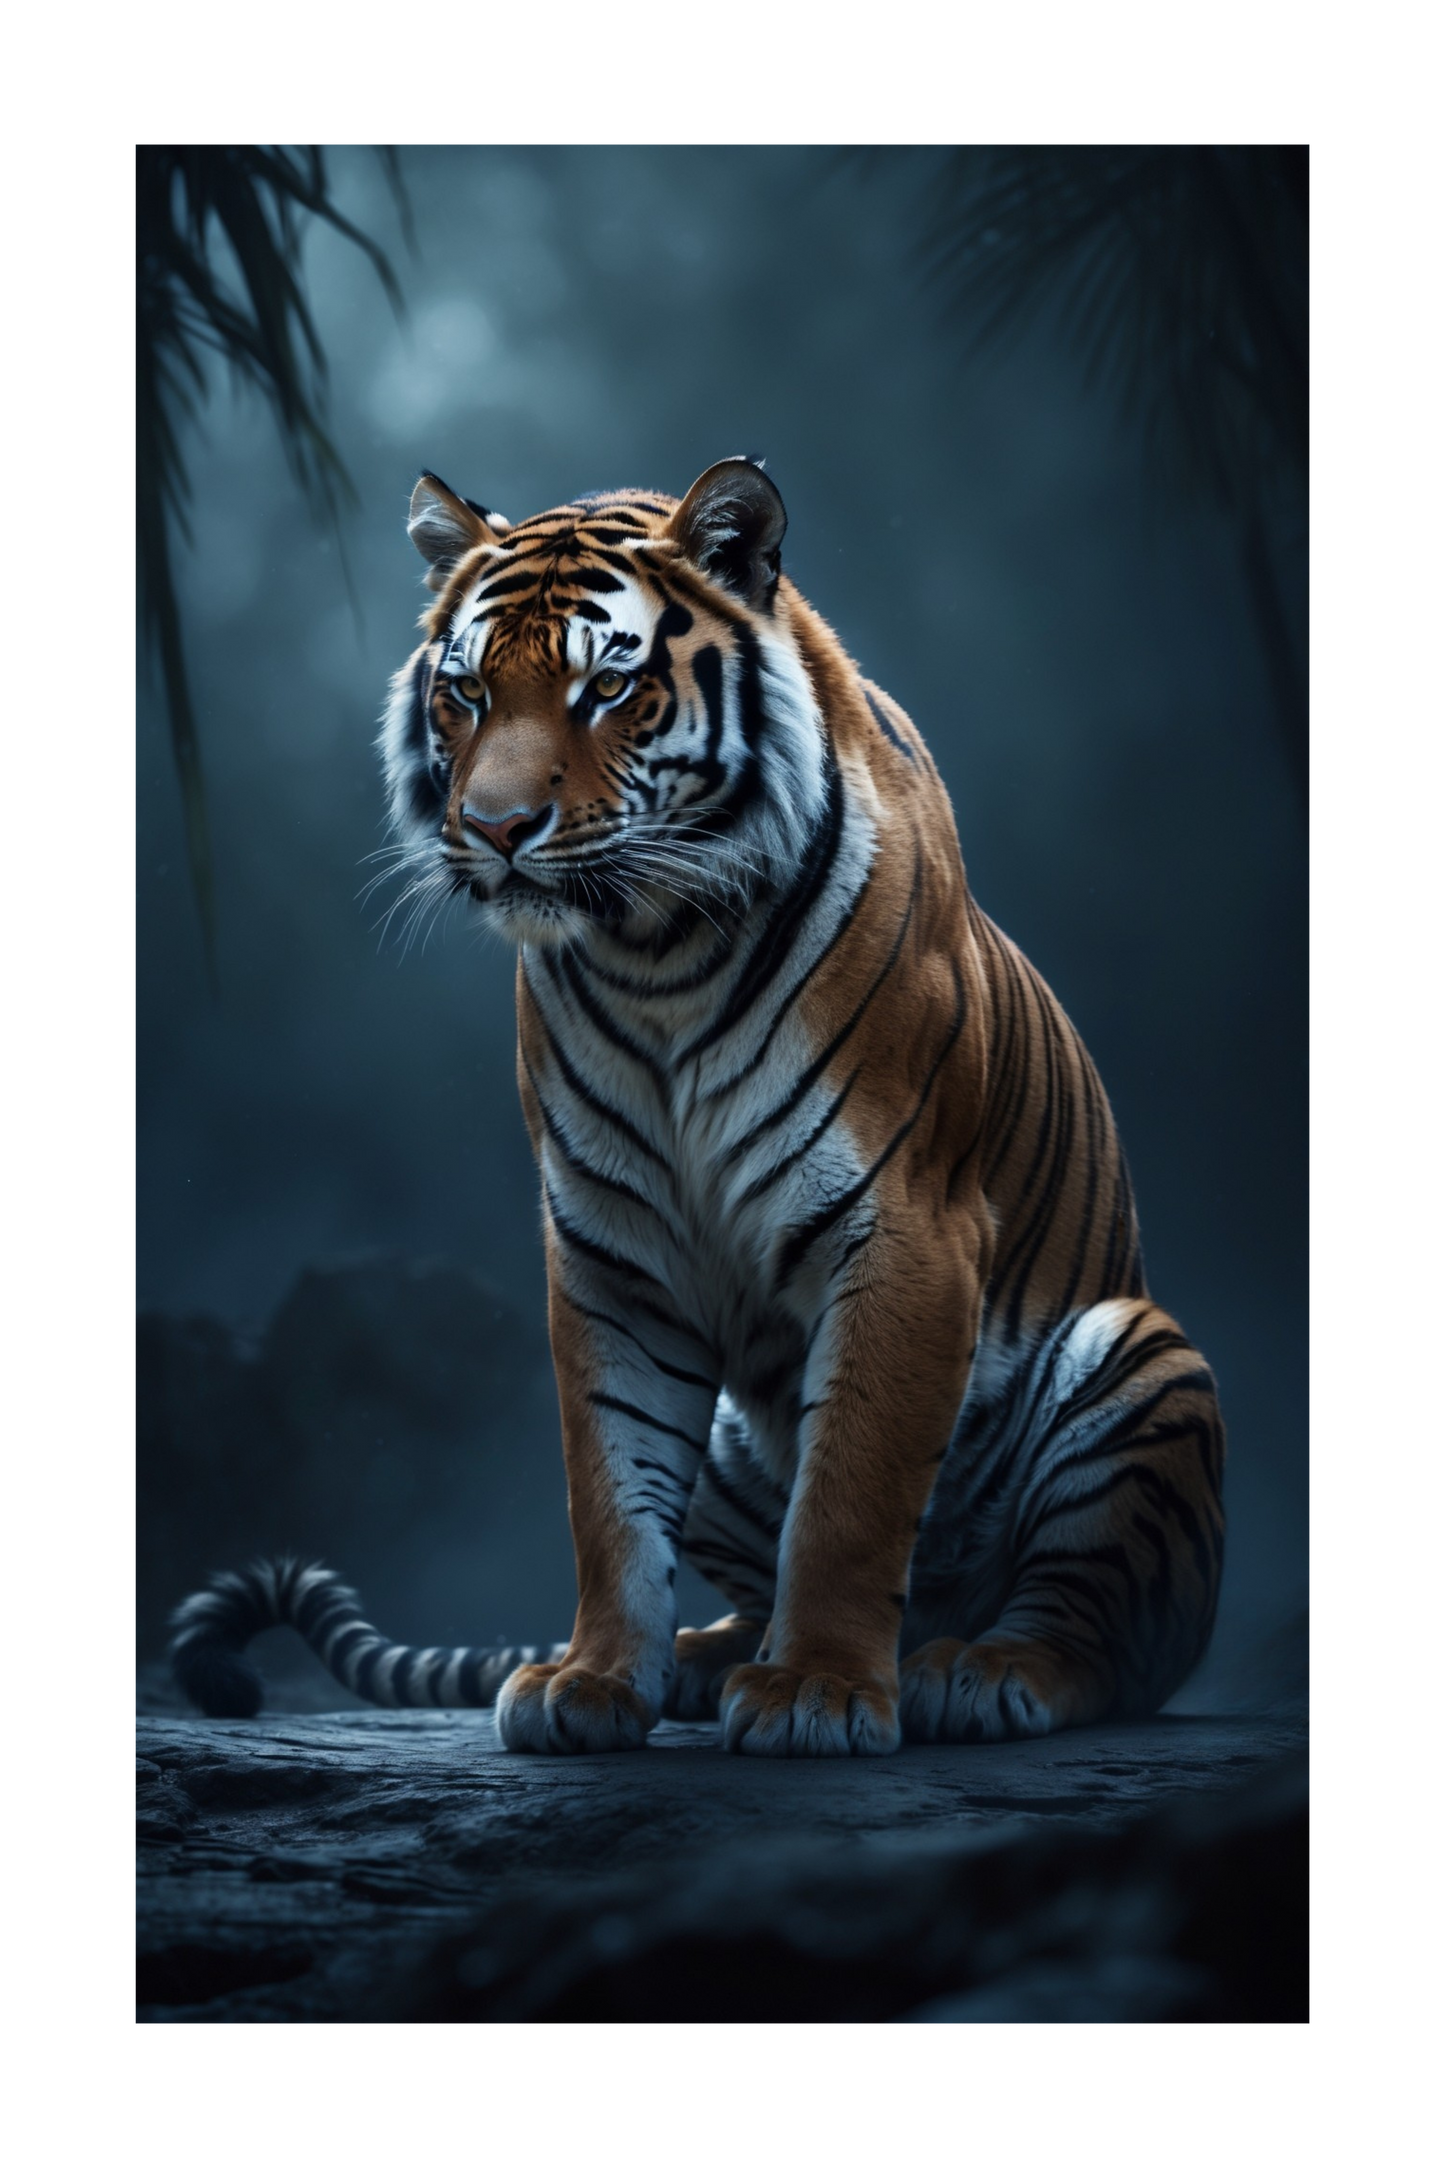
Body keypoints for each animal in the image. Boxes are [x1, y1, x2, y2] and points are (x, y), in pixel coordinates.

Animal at [171, 457, 1225, 1757]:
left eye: (607, 686)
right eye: (466, 692)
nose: (493, 830)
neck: (654, 950)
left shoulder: (905, 1232)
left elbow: (851, 1490)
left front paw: (818, 1688)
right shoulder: (608, 1250)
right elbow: (611, 1490)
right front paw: (591, 1680)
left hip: (1140, 1358)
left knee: (1112, 1635)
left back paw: (976, 1669)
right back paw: (706, 1659)